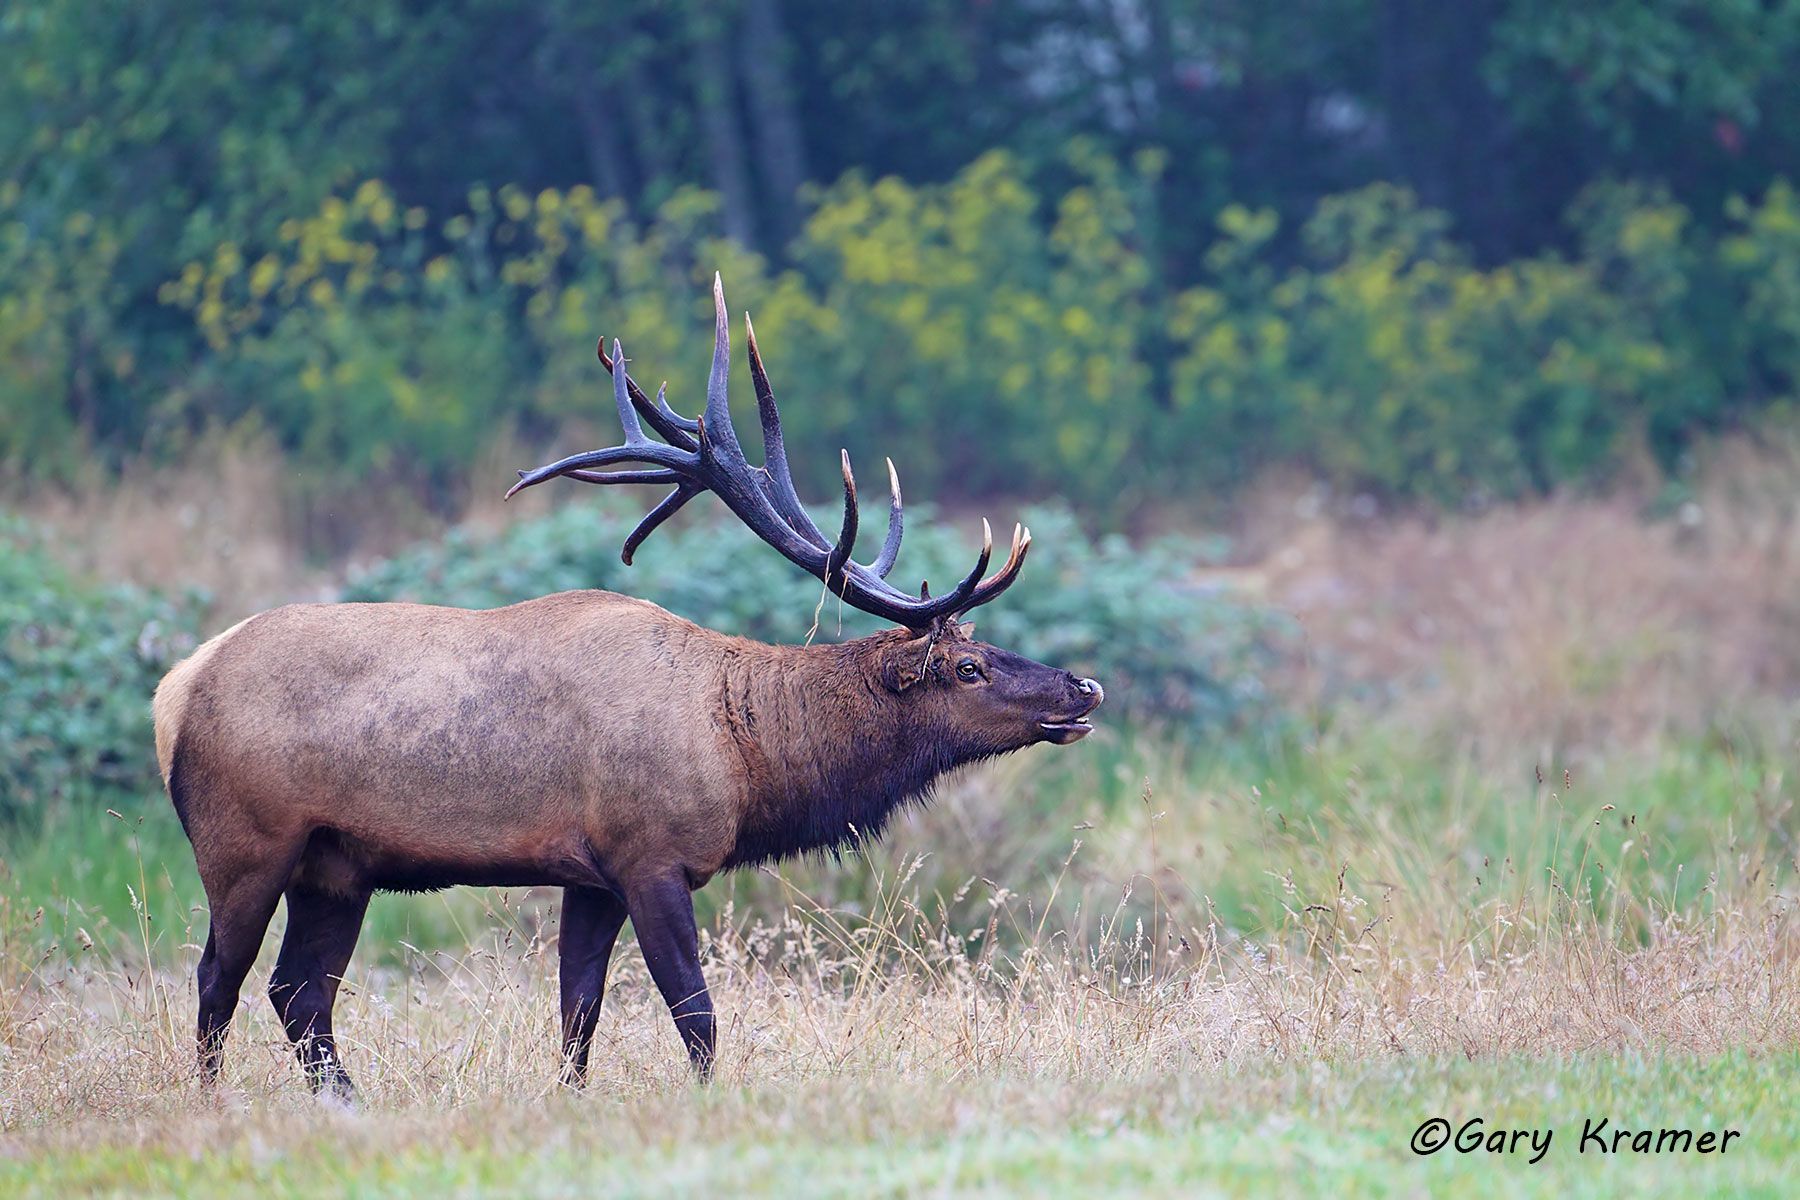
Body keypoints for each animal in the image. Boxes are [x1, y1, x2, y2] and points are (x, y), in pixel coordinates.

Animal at [152, 275, 1104, 1099]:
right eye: (968, 667)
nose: (1083, 687)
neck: (746, 755)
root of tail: (176, 689)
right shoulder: (651, 855)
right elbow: (696, 1014)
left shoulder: (592, 877)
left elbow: (579, 1013)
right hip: (246, 841)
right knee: (219, 978)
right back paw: (212, 1101)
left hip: (337, 866)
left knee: (299, 992)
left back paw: (348, 1100)